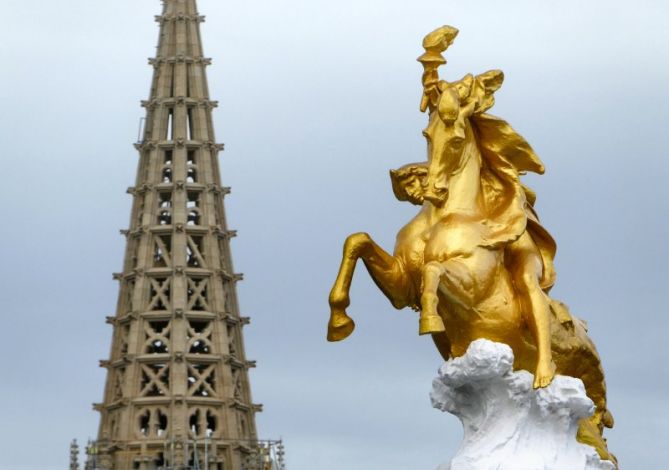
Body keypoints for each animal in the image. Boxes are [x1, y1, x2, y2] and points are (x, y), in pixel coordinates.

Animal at [326, 26, 612, 466]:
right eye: (427, 134)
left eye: (458, 138)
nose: (432, 189)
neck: (446, 216)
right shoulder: (400, 286)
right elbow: (356, 241)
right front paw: (339, 320)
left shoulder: (473, 286)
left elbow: (434, 270)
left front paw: (430, 319)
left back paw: (544, 377)